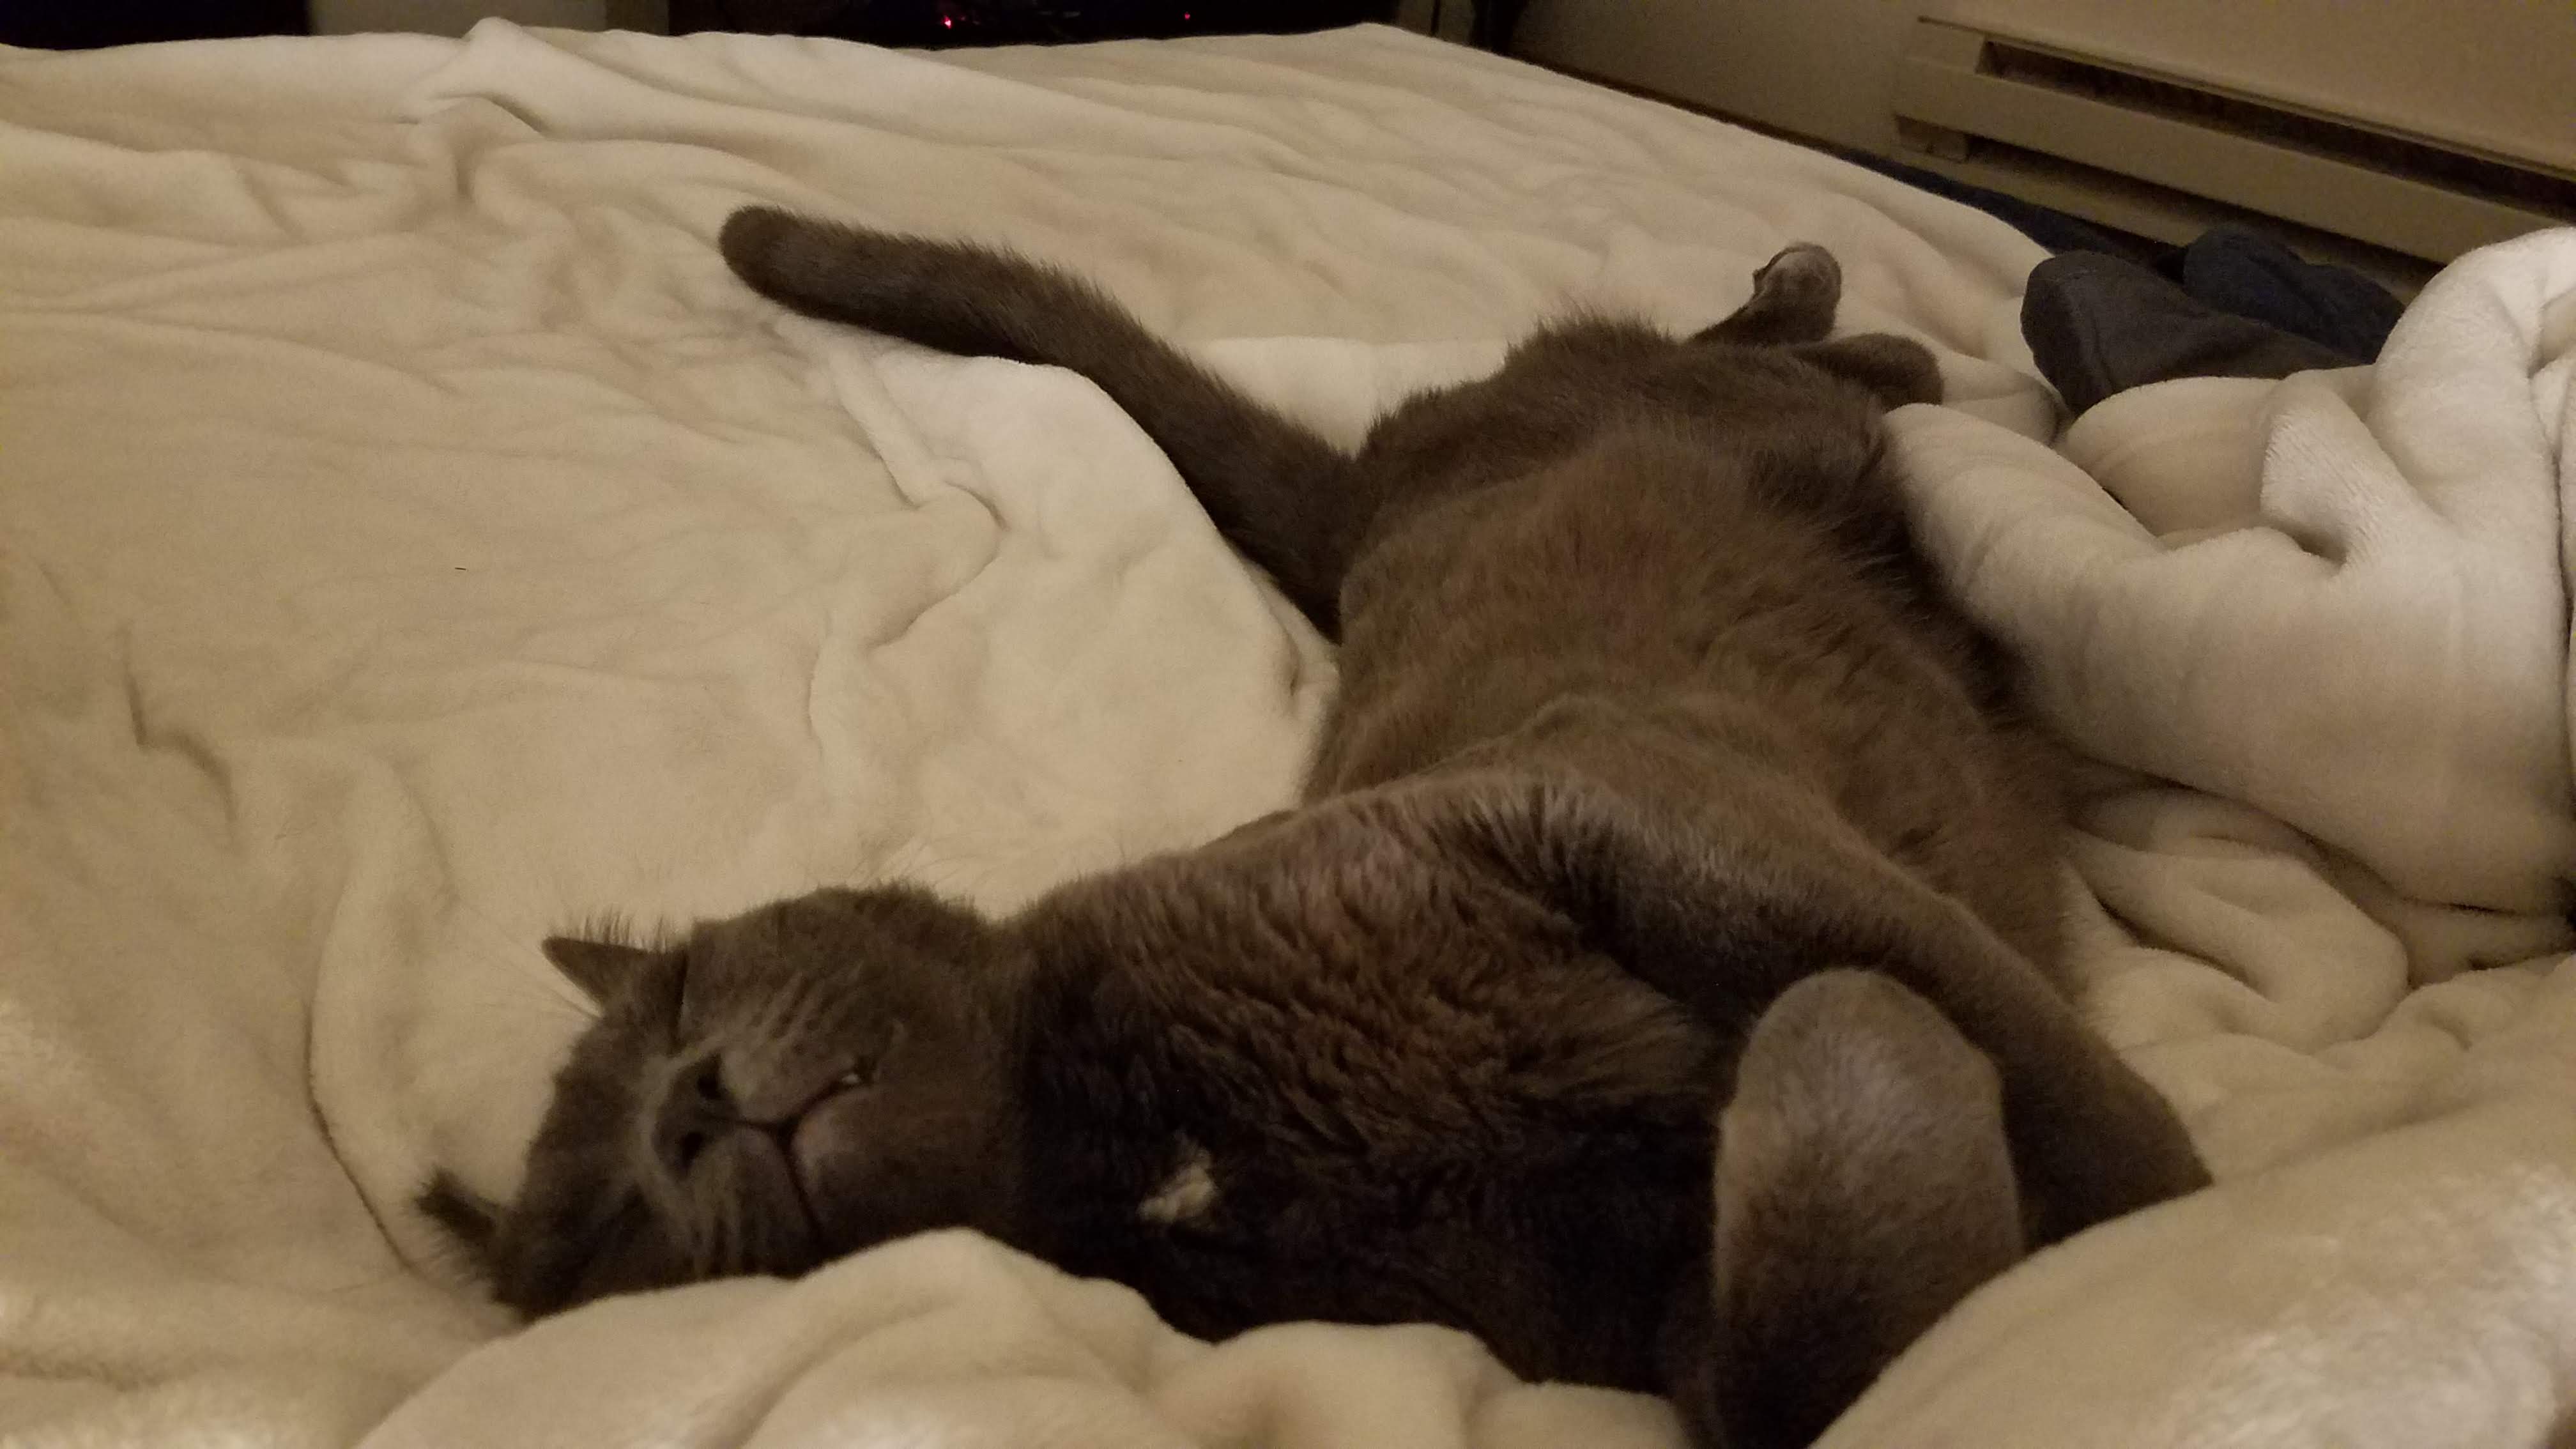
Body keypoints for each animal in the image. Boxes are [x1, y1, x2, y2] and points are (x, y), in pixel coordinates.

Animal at [420, 210, 2208, 1449]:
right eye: (599, 1235)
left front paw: (2170, 1223)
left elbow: (2013, 1047)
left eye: (678, 1002)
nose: (690, 1109)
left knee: (1794, 365)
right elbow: (1818, 1322)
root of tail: (1355, 515)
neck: (1150, 1131)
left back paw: (1857, 304)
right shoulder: (1625, 1320)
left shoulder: (1626, 811)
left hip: (1729, 429)